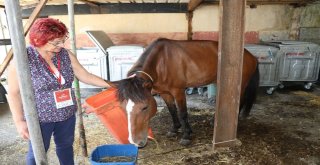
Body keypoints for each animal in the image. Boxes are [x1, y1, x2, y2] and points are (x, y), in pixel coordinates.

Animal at [111, 38, 258, 147]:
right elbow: (172, 111)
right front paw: (174, 129)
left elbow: (182, 113)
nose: (135, 141)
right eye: (122, 107)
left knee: (239, 102)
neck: (160, 61)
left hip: (240, 85)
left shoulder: (178, 92)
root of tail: (251, 56)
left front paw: (186, 135)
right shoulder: (165, 93)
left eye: (145, 107)